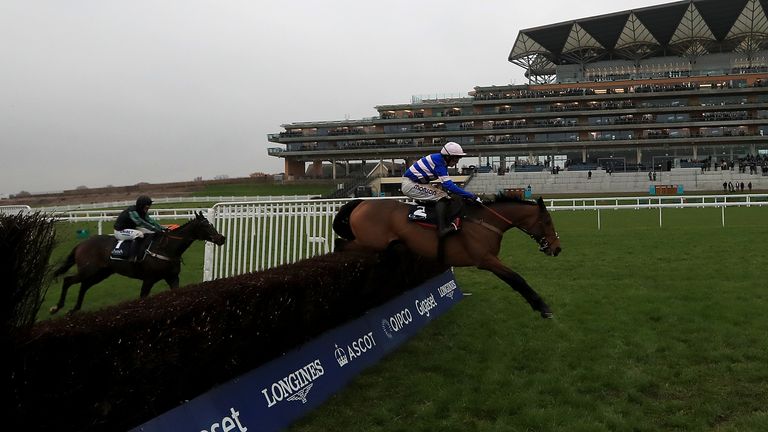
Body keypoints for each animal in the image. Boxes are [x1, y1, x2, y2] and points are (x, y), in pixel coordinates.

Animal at [50, 211, 225, 312]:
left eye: (211, 224)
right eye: (205, 225)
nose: (221, 238)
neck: (165, 249)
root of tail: (82, 244)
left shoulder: (172, 278)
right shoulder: (148, 279)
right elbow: (142, 297)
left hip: (102, 273)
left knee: (84, 285)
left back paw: (74, 309)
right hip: (88, 270)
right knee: (68, 280)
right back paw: (56, 307)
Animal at [332, 195, 560, 318]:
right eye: (548, 221)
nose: (557, 248)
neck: (484, 222)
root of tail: (362, 203)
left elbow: (515, 279)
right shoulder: (486, 259)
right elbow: (516, 279)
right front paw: (542, 307)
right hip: (369, 241)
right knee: (340, 245)